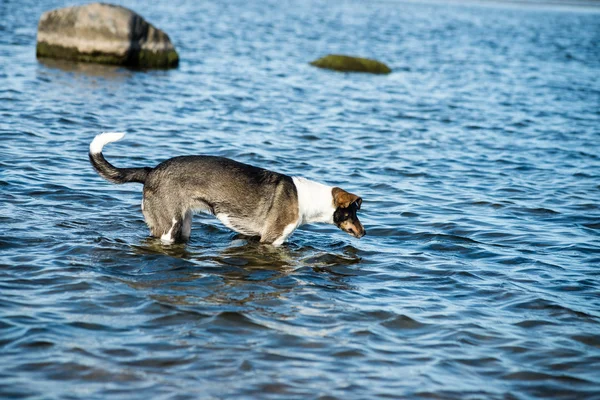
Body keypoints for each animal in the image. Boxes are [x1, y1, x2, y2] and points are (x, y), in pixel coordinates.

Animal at [89, 132, 366, 244]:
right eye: (353, 213)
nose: (364, 232)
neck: (307, 199)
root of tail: (151, 171)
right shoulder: (271, 240)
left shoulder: (251, 236)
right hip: (168, 228)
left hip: (184, 225)